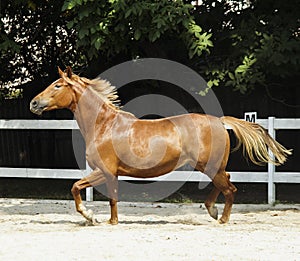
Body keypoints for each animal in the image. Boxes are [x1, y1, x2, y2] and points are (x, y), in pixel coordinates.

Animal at [29, 67, 290, 223]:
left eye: (58, 86)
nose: (33, 103)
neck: (104, 125)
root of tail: (219, 120)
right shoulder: (112, 173)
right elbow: (113, 199)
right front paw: (112, 221)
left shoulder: (103, 171)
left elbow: (75, 187)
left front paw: (91, 216)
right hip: (211, 166)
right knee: (224, 182)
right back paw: (212, 210)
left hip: (209, 165)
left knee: (229, 189)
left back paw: (222, 219)